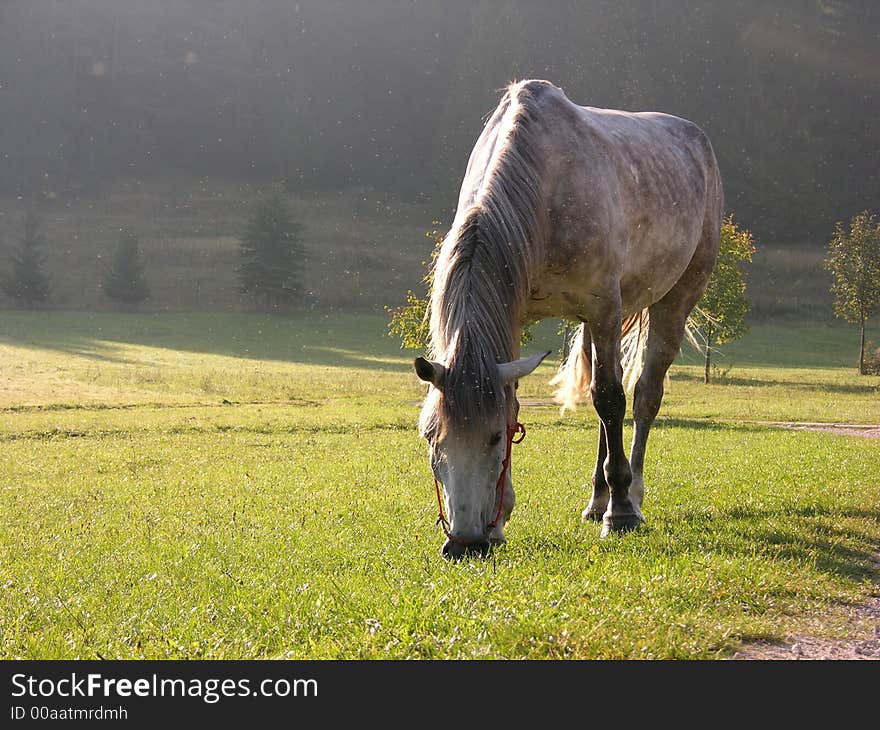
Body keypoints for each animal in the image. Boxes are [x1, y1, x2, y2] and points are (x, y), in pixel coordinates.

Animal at [412, 79, 720, 556]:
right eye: (430, 437)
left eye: (494, 438)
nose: (465, 543)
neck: (544, 186)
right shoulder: (519, 320)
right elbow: (525, 402)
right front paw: (501, 521)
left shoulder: (605, 307)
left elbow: (611, 399)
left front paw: (621, 514)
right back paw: (597, 499)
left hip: (674, 298)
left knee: (642, 397)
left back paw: (630, 494)